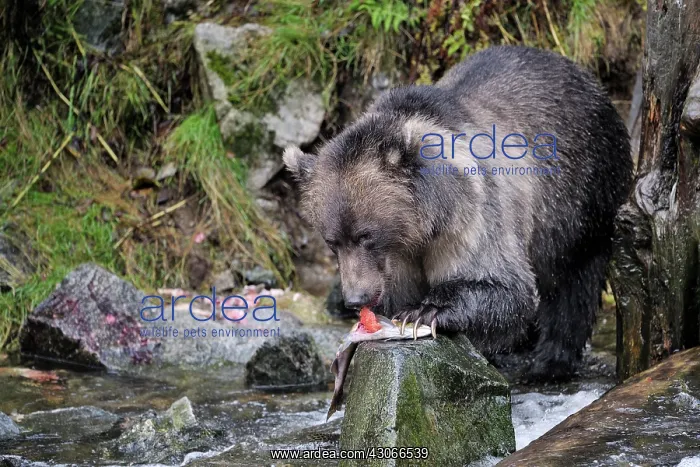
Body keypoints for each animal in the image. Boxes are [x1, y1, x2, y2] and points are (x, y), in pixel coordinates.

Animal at [283, 45, 633, 380]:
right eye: (332, 241)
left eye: (365, 235)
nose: (355, 298)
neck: (419, 228)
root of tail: (582, 73)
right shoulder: (399, 261)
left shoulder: (471, 216)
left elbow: (503, 286)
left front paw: (425, 311)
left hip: (581, 192)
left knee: (574, 279)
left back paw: (550, 364)